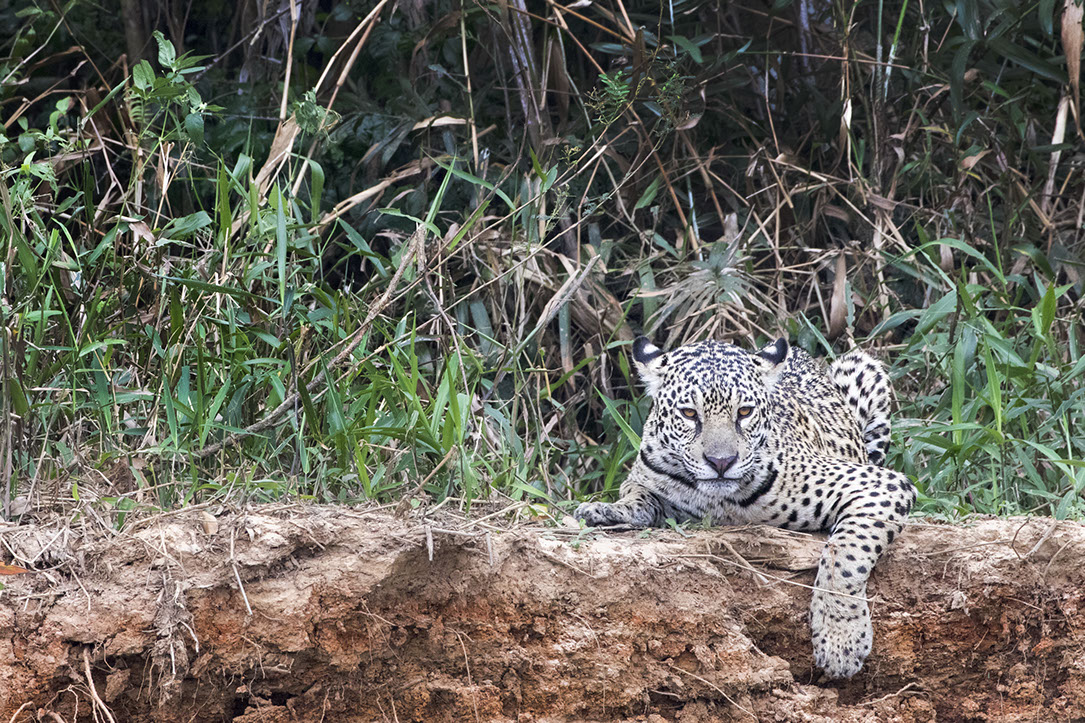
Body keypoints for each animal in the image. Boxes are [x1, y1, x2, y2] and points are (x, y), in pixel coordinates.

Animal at [575, 336, 916, 679]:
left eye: (745, 411)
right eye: (689, 413)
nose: (721, 462)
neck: (720, 501)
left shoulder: (881, 484)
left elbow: (844, 556)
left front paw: (841, 640)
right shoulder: (645, 478)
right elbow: (637, 496)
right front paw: (604, 511)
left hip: (862, 368)